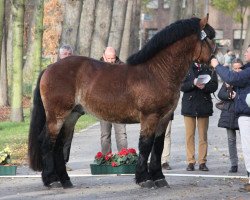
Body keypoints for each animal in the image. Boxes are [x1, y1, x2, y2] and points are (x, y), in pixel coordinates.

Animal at [28, 15, 216, 189]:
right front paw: (144, 179)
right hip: (57, 115)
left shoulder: (164, 118)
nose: (214, 62)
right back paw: (52, 180)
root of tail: (50, 68)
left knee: (59, 144)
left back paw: (65, 180)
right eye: (208, 38)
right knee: (47, 142)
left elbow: (158, 146)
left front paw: (159, 178)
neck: (157, 72)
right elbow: (145, 146)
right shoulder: (150, 117)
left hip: (71, 116)